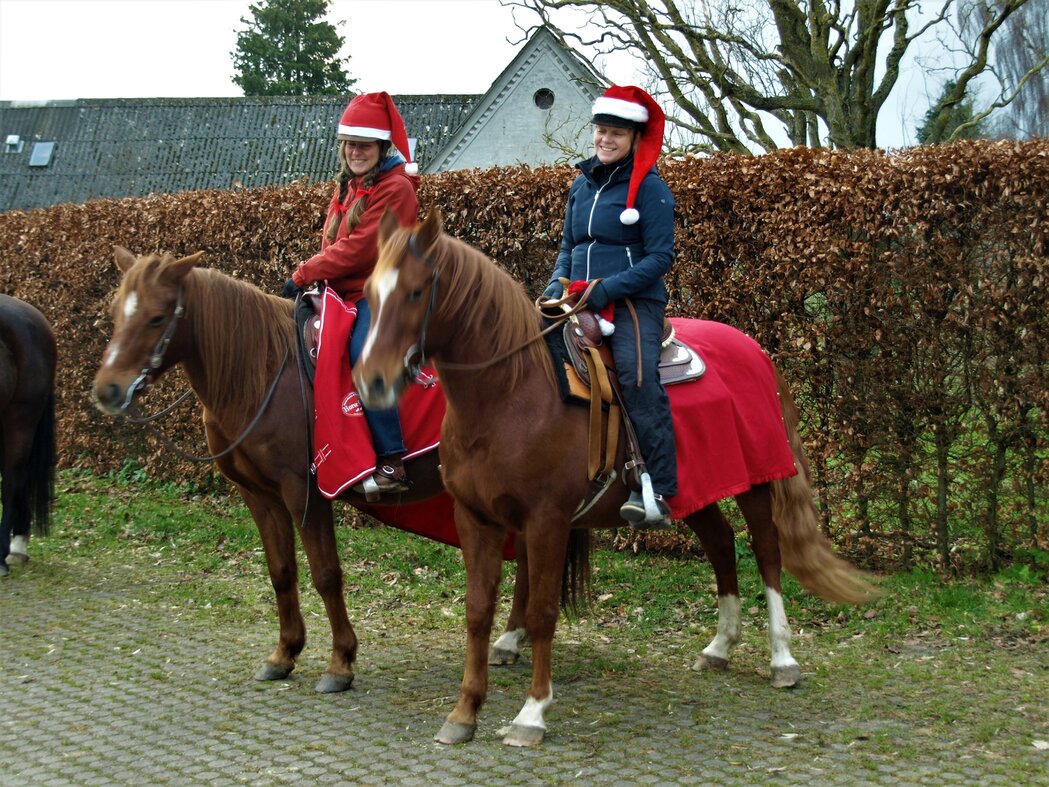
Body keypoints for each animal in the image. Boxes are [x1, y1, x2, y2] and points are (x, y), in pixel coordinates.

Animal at [91, 246, 531, 692]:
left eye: (157, 317)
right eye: (115, 311)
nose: (108, 390)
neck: (262, 371)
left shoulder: (303, 490)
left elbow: (325, 574)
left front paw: (340, 663)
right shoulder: (259, 495)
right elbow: (281, 571)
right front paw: (284, 653)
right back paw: (509, 641)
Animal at [353, 208, 878, 747]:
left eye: (416, 292)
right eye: (369, 292)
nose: (371, 381)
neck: (513, 391)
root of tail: (755, 350)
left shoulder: (547, 520)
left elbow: (543, 613)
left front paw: (531, 713)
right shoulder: (476, 517)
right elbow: (477, 611)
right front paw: (464, 713)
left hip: (755, 482)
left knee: (767, 553)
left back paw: (782, 658)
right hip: (694, 490)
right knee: (720, 542)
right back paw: (719, 647)